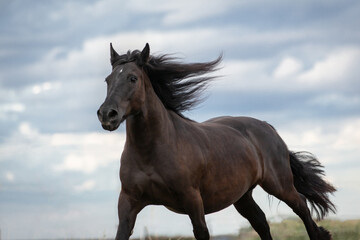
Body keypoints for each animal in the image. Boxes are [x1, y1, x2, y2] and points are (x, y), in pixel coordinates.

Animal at [97, 43, 336, 240]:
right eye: (108, 80)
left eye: (132, 78)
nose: (107, 114)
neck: (151, 152)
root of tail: (267, 127)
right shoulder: (128, 202)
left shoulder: (192, 199)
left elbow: (202, 232)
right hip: (243, 196)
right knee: (261, 223)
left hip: (280, 185)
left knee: (303, 210)